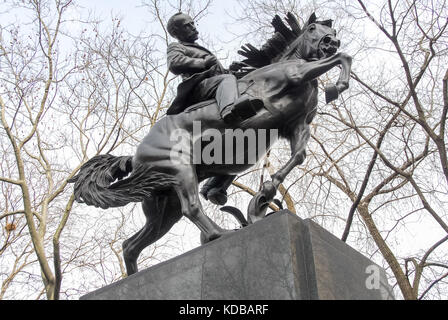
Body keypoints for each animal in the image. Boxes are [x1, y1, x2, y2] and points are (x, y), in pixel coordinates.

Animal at [70, 12, 352, 276]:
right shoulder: (296, 77)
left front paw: (264, 195)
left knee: (131, 245)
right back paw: (220, 234)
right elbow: (343, 58)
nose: (332, 42)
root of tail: (136, 156)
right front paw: (337, 86)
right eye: (313, 28)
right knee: (192, 208)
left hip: (164, 206)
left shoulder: (296, 125)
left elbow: (299, 156)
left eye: (333, 30)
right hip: (180, 171)